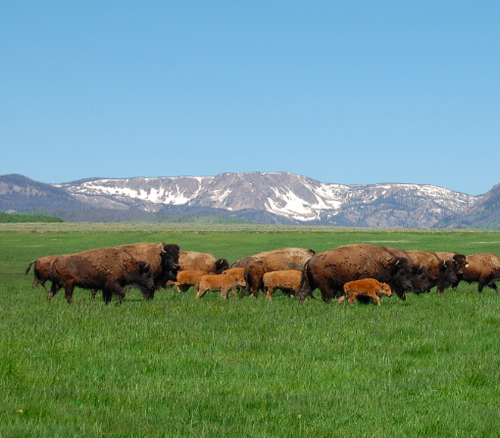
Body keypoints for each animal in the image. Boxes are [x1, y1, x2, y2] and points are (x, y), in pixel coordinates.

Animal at [298, 243, 428, 304]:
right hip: (325, 286)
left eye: (411, 273)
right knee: (325, 296)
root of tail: (310, 260)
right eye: (401, 272)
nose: (409, 285)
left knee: (304, 293)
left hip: (311, 283)